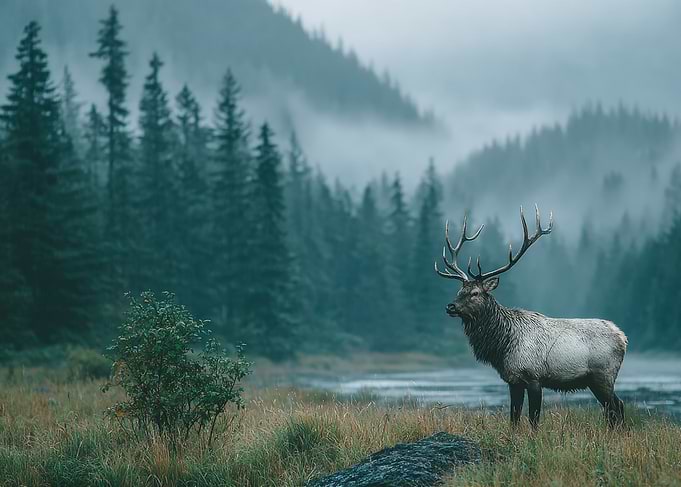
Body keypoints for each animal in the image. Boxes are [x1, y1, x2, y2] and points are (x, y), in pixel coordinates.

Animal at [435, 206, 627, 428]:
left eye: (475, 293)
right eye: (459, 291)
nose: (450, 306)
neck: (502, 346)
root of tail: (623, 337)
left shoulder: (534, 377)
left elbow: (533, 419)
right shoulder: (513, 380)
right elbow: (514, 417)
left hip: (603, 374)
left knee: (616, 406)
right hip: (596, 380)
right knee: (614, 408)